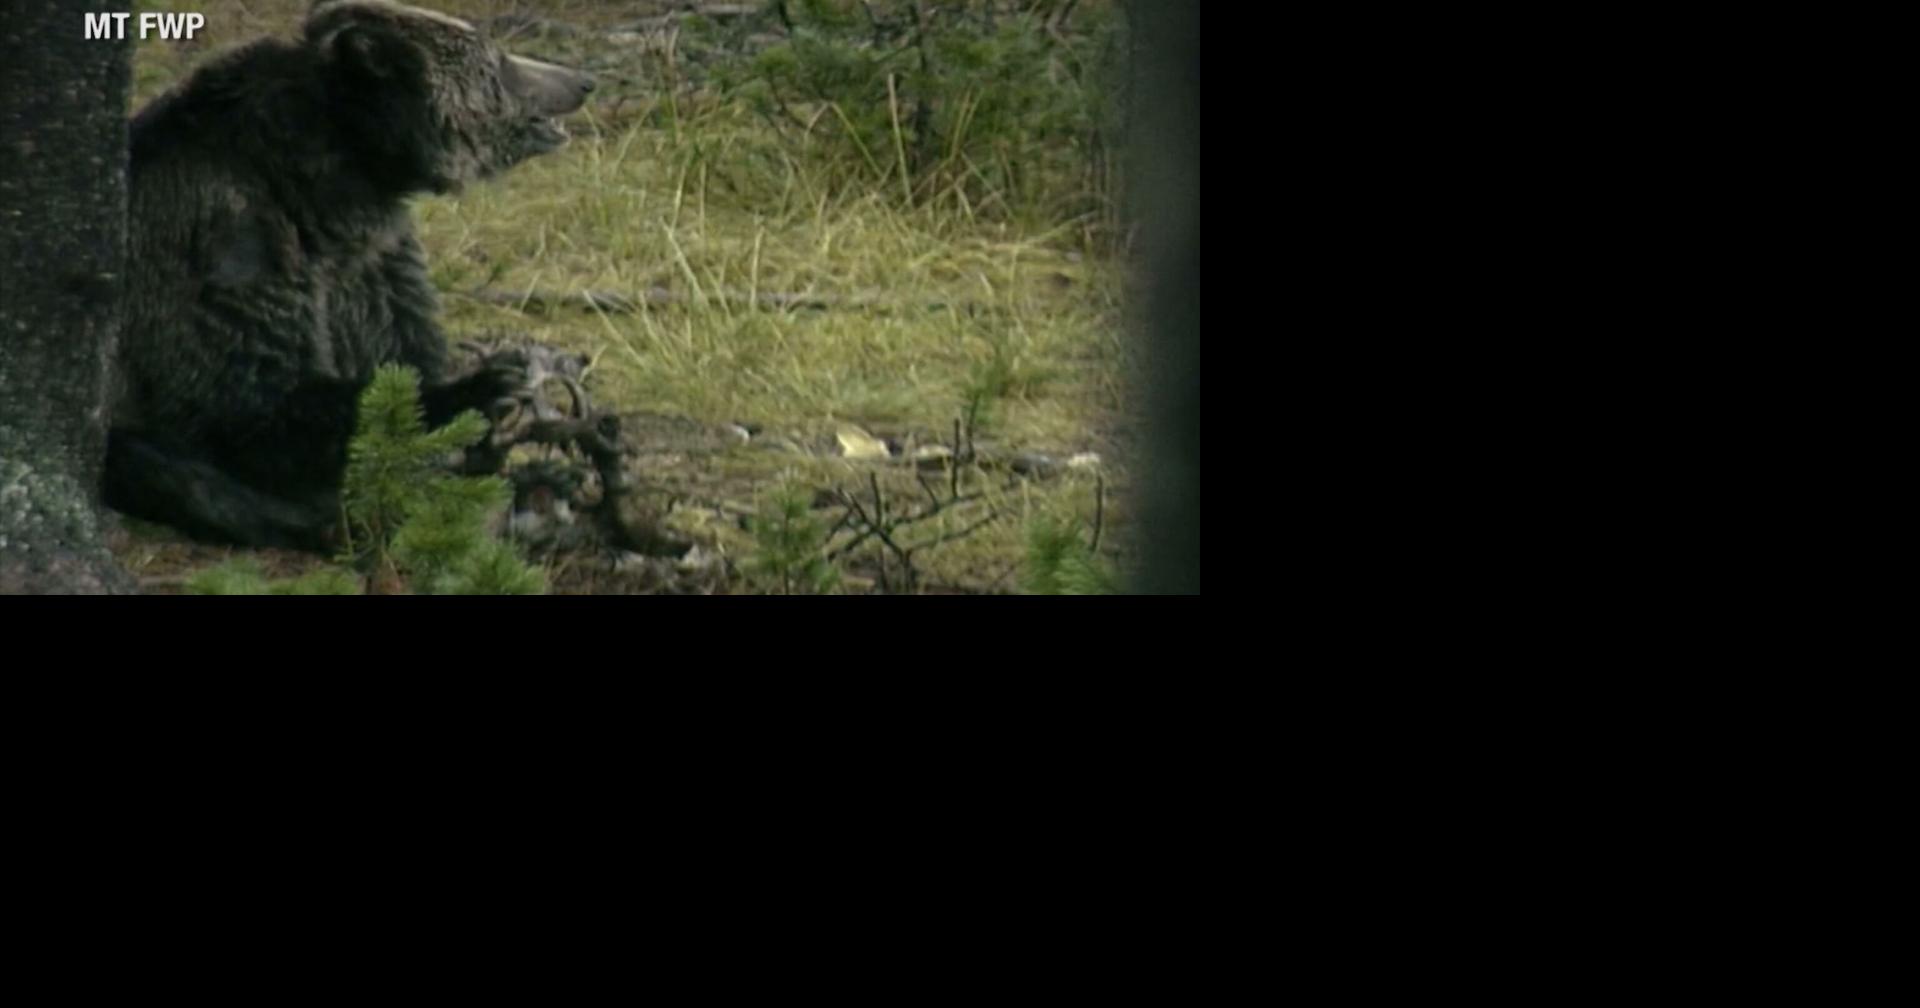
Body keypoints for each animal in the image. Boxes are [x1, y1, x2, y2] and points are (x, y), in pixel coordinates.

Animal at [104, 0, 595, 551]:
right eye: (497, 60)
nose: (582, 81)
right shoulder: (223, 242)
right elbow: (253, 403)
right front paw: (486, 385)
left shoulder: (375, 264)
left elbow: (404, 352)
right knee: (166, 470)